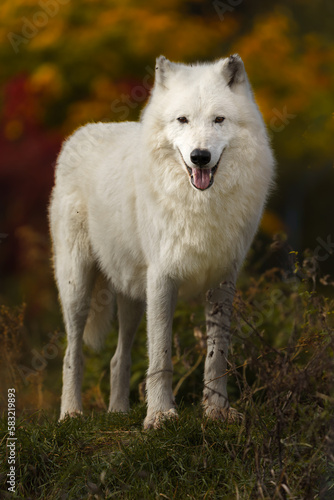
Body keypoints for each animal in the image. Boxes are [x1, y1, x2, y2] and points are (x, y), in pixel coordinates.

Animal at [49, 55, 274, 430]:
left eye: (218, 119)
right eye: (182, 119)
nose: (200, 156)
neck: (199, 205)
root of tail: (78, 134)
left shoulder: (223, 281)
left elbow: (217, 354)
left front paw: (217, 410)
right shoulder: (162, 279)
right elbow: (160, 356)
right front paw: (159, 415)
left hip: (131, 297)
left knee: (117, 358)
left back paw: (118, 411)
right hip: (77, 287)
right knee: (72, 353)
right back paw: (70, 413)